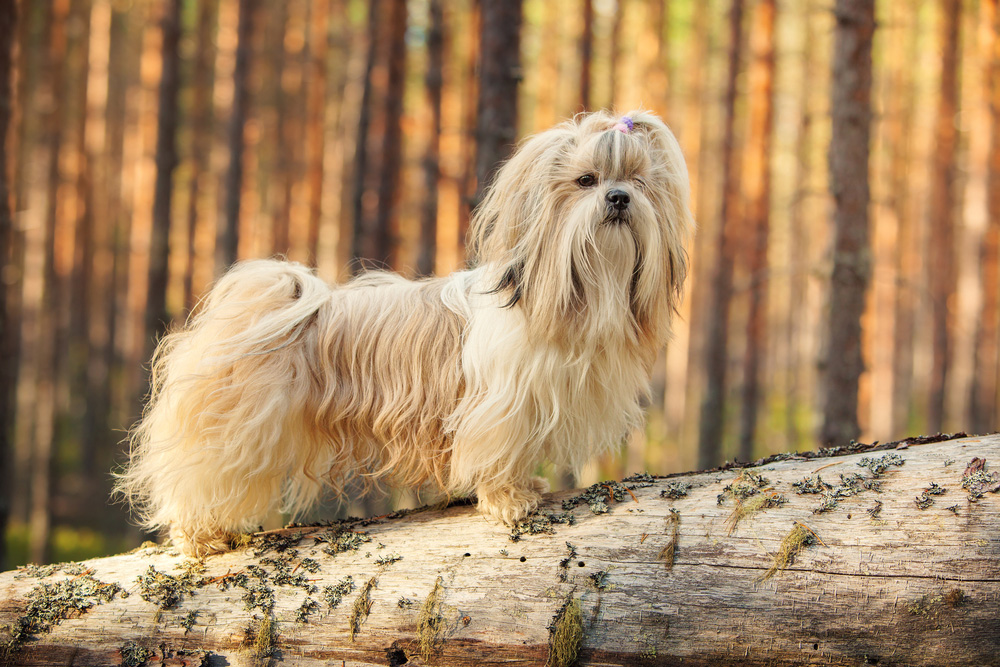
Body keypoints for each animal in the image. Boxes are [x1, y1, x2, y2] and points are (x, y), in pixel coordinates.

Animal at [119, 111, 696, 560]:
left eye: (639, 180)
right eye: (586, 180)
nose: (619, 198)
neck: (578, 292)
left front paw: (527, 485)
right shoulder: (499, 408)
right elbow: (497, 454)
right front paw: (508, 500)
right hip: (234, 431)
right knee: (199, 479)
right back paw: (200, 538)